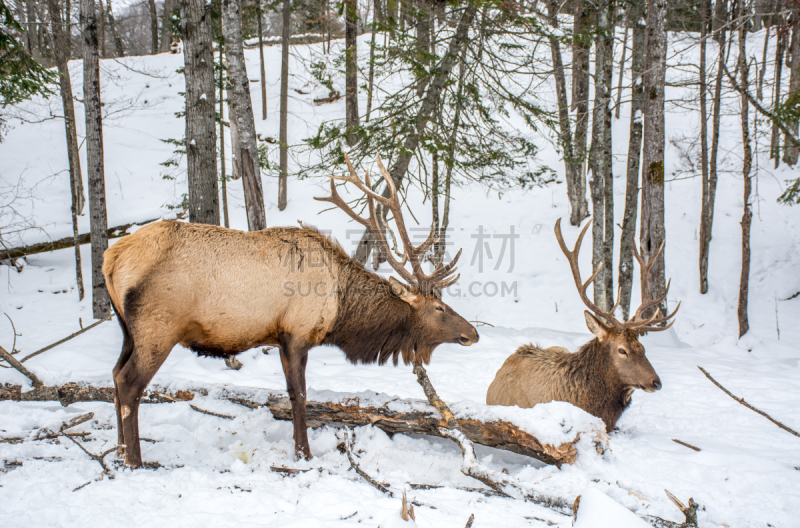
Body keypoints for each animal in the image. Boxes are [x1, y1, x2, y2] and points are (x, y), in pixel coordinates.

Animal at [100, 153, 476, 466]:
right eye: (440, 307)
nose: (472, 333)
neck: (341, 306)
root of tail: (111, 257)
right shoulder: (296, 332)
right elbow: (300, 396)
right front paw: (304, 454)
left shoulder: (279, 336)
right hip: (158, 328)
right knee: (130, 382)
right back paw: (135, 460)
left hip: (127, 329)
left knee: (115, 375)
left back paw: (118, 452)